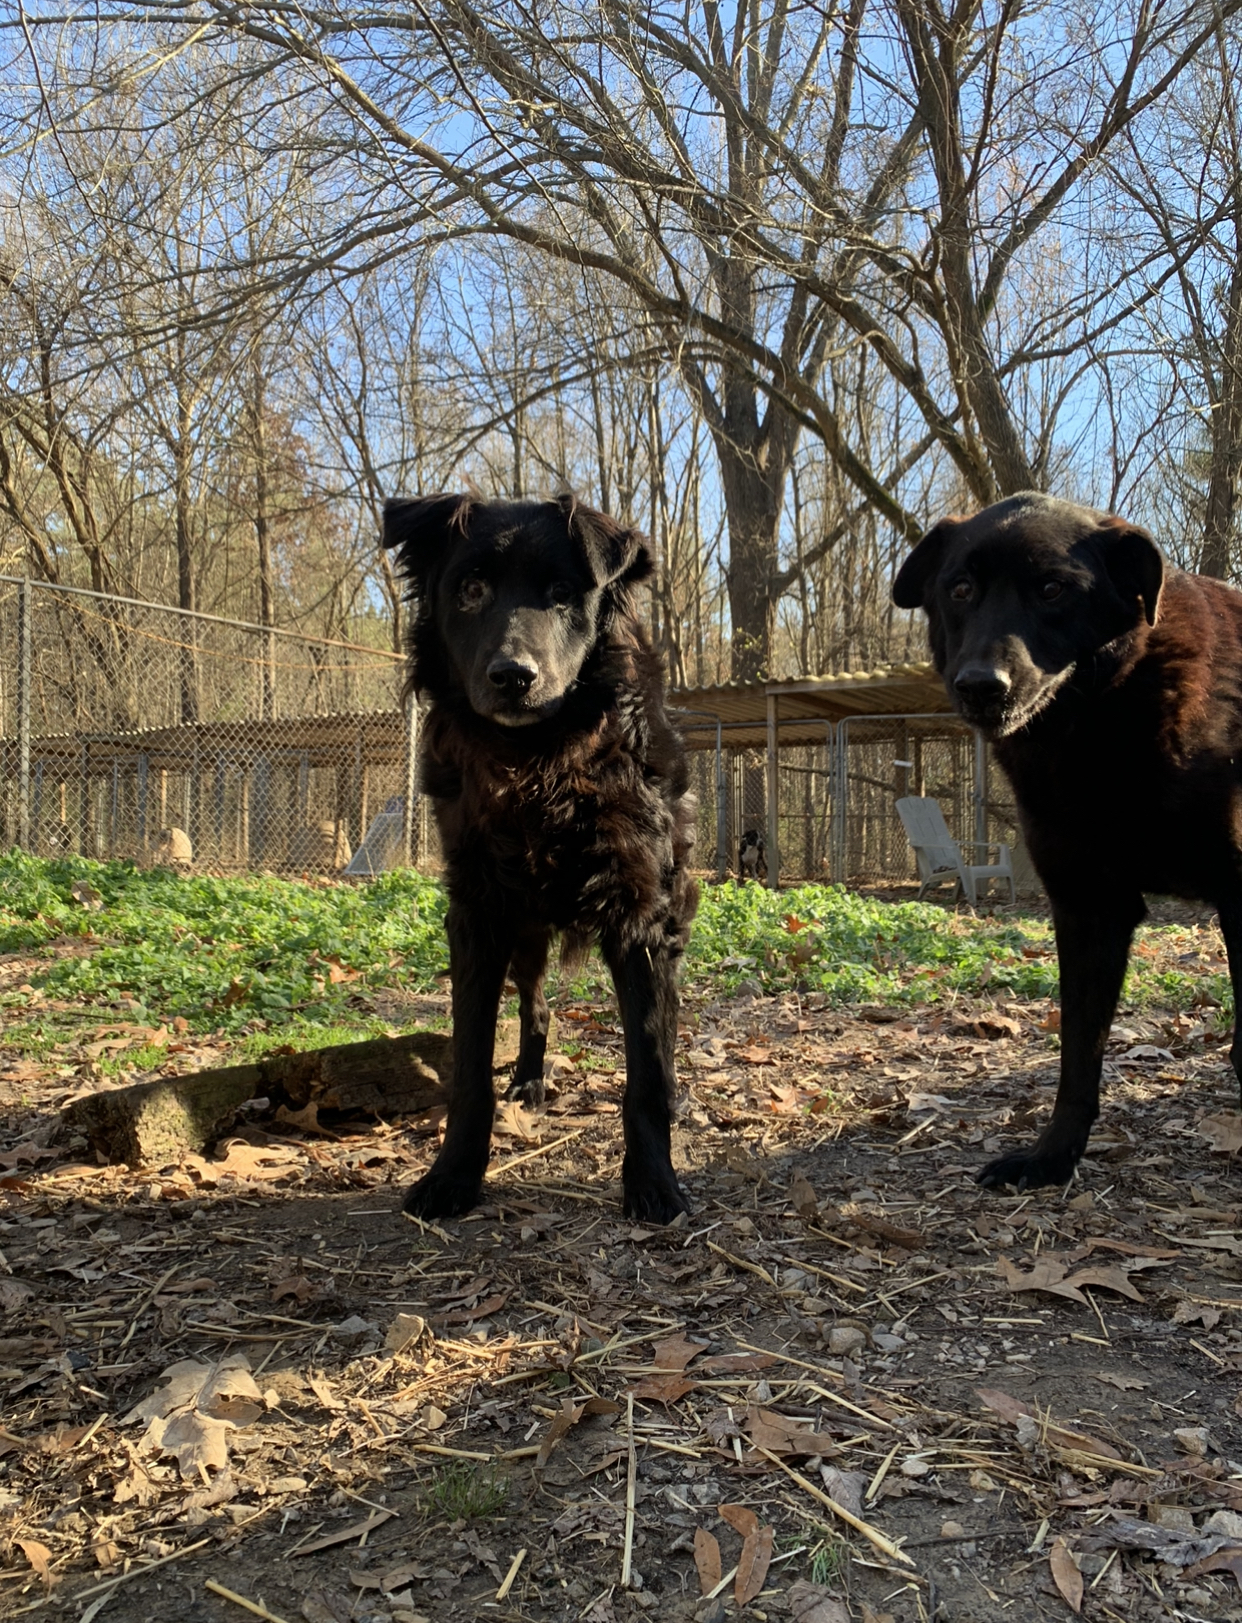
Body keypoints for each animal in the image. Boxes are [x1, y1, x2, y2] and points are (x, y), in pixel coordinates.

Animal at [383, 490, 698, 1220]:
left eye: (561, 594)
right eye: (470, 589)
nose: (513, 677)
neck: (537, 763)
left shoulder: (642, 916)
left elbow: (646, 1067)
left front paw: (653, 1182)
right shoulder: (477, 912)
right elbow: (472, 1065)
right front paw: (453, 1176)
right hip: (525, 932)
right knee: (537, 1005)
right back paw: (530, 1078)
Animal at [889, 486, 1240, 1188]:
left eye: (1052, 589)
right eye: (961, 588)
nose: (981, 686)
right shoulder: (1087, 907)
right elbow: (1078, 1051)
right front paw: (1053, 1156)